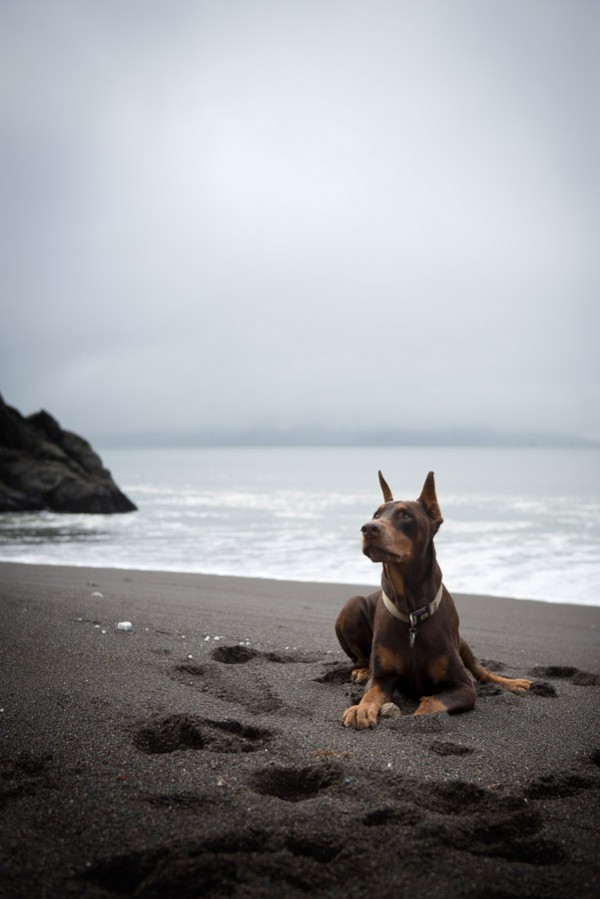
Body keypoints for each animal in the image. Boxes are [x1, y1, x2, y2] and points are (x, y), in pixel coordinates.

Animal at [336, 474, 532, 728]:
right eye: (376, 514)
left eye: (406, 515)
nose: (368, 528)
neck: (411, 612)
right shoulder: (382, 677)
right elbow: (371, 693)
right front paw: (360, 708)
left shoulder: (462, 687)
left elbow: (430, 704)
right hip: (351, 605)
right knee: (359, 656)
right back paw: (361, 671)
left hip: (461, 643)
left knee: (481, 671)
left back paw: (512, 683)